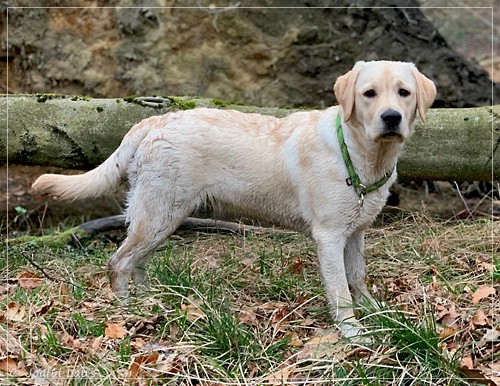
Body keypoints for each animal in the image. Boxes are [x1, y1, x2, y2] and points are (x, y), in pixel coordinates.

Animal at [34, 61, 434, 338]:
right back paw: (126, 311)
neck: (358, 153)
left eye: (403, 92)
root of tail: (151, 122)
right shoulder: (329, 236)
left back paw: (150, 303)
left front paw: (378, 314)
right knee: (117, 262)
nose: (391, 118)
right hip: (160, 214)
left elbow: (358, 277)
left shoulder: (356, 232)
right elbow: (340, 291)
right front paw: (353, 333)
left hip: (160, 218)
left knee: (136, 262)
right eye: (369, 94)